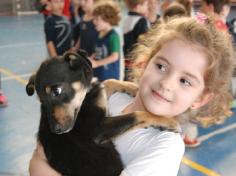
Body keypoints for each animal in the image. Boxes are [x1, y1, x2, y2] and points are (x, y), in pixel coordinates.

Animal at [25, 51, 180, 176]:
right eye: (41, 101)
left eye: (56, 91)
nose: (55, 130)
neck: (85, 97)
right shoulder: (97, 129)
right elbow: (136, 114)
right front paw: (167, 121)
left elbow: (109, 81)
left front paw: (134, 88)